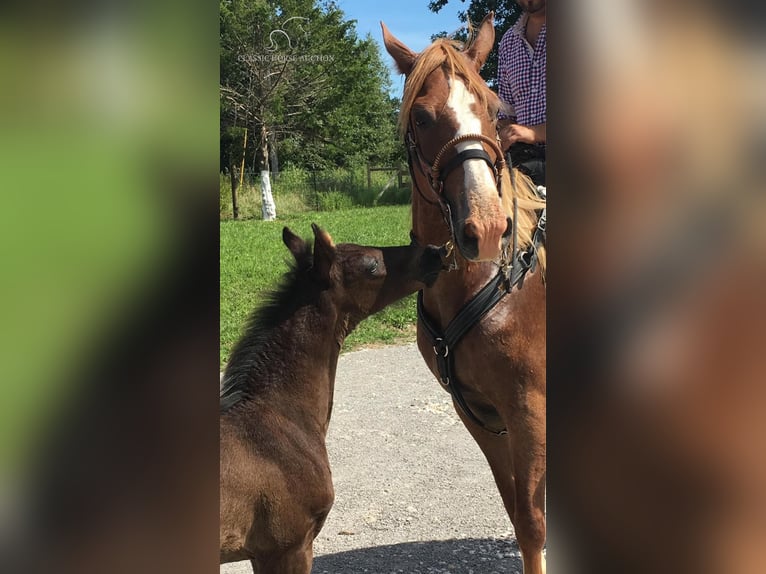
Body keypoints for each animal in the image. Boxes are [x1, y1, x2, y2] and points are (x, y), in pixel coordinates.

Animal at [382, 13, 548, 574]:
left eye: (495, 111)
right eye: (422, 117)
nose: (487, 228)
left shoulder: (530, 411)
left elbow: (535, 523)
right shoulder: (479, 414)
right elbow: (519, 515)